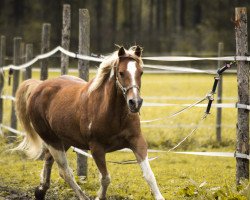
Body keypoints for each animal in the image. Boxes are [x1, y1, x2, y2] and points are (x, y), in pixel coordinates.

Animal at [14, 45, 165, 200]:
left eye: (141, 72)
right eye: (121, 73)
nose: (135, 102)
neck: (112, 113)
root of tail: (39, 86)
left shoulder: (137, 141)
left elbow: (149, 175)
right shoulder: (96, 148)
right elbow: (105, 178)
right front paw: (100, 196)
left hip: (64, 140)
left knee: (49, 160)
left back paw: (41, 190)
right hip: (52, 140)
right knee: (65, 171)